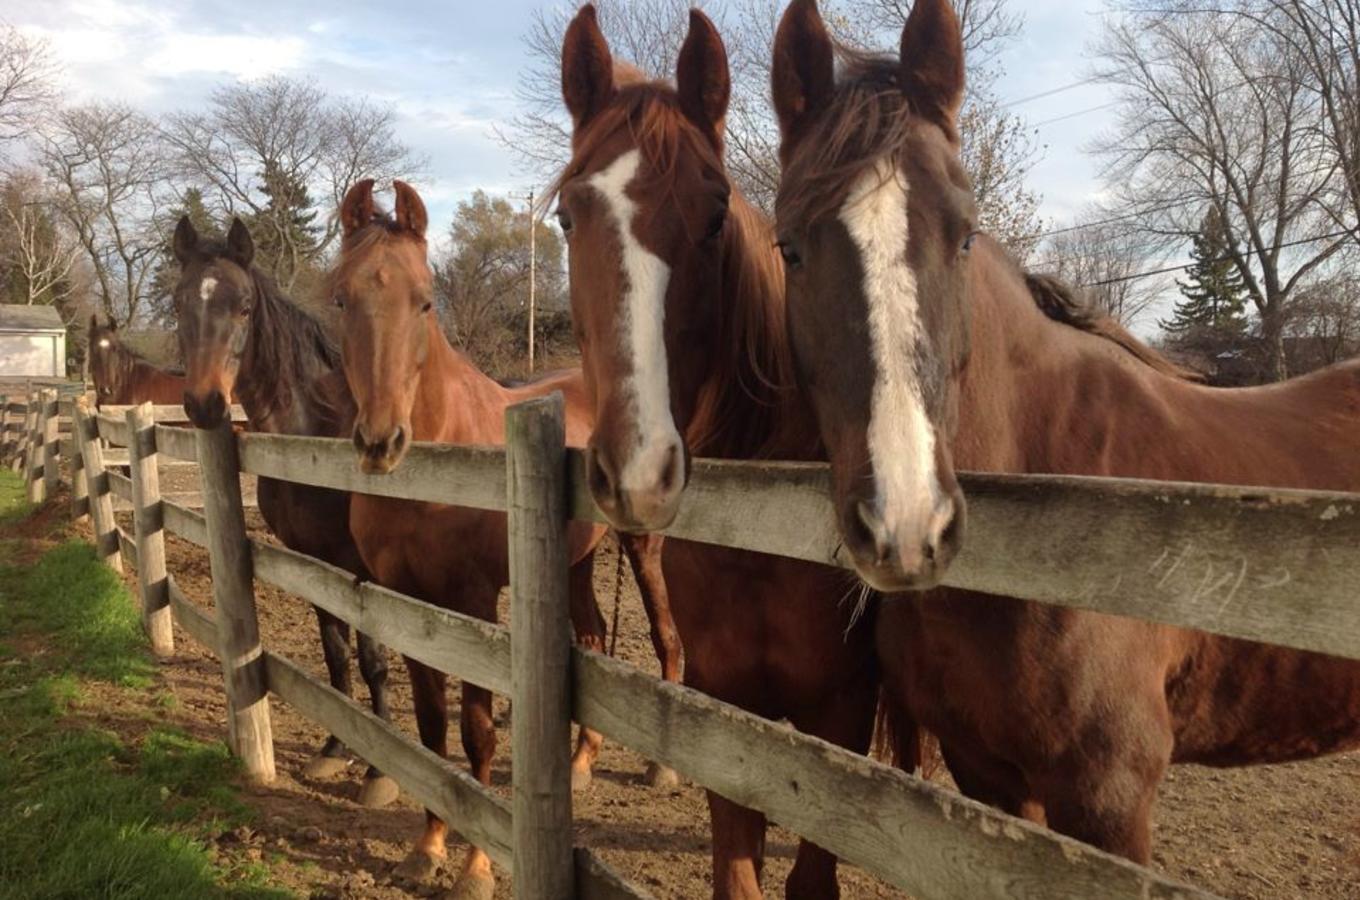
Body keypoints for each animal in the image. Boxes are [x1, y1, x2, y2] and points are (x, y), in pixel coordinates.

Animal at [165, 217, 397, 810]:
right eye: (179, 302)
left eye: (245, 306)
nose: (205, 404)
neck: (319, 434)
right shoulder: (314, 562)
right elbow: (336, 655)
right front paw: (335, 749)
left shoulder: (363, 572)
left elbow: (373, 660)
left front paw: (379, 773)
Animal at [334, 179, 685, 897]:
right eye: (341, 297)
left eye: (424, 300)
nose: (380, 442)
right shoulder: (409, 600)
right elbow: (433, 729)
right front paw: (426, 849)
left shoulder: (473, 601)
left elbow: (476, 734)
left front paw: (475, 869)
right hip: (576, 564)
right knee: (592, 636)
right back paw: (579, 764)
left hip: (640, 548)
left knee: (665, 634)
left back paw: (661, 768)